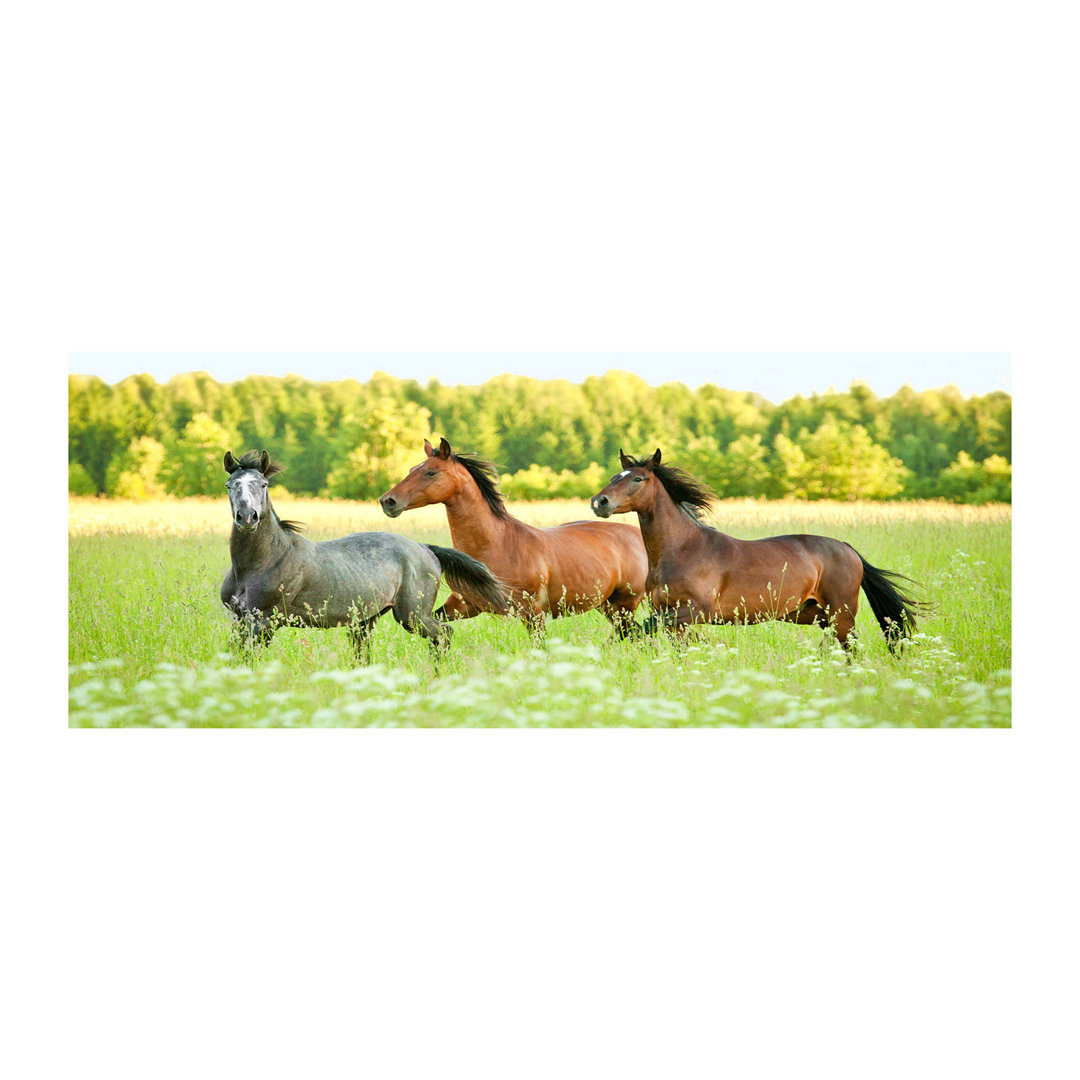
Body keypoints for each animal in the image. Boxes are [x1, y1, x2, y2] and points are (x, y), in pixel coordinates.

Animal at [220, 450, 508, 661]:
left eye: (263, 484)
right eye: (230, 485)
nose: (247, 517)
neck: (260, 563)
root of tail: (425, 548)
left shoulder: (264, 621)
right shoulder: (239, 619)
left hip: (412, 616)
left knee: (444, 634)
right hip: (366, 621)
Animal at [378, 438, 649, 636]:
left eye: (431, 473)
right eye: (412, 469)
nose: (388, 501)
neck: (498, 544)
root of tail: (637, 535)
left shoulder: (533, 613)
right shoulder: (463, 606)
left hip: (624, 605)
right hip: (609, 606)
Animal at [590, 449, 928, 652]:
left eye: (638, 478)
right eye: (613, 478)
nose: (599, 502)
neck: (683, 550)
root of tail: (847, 549)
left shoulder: (696, 611)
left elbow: (641, 628)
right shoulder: (671, 616)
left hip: (841, 612)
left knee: (851, 648)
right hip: (811, 613)